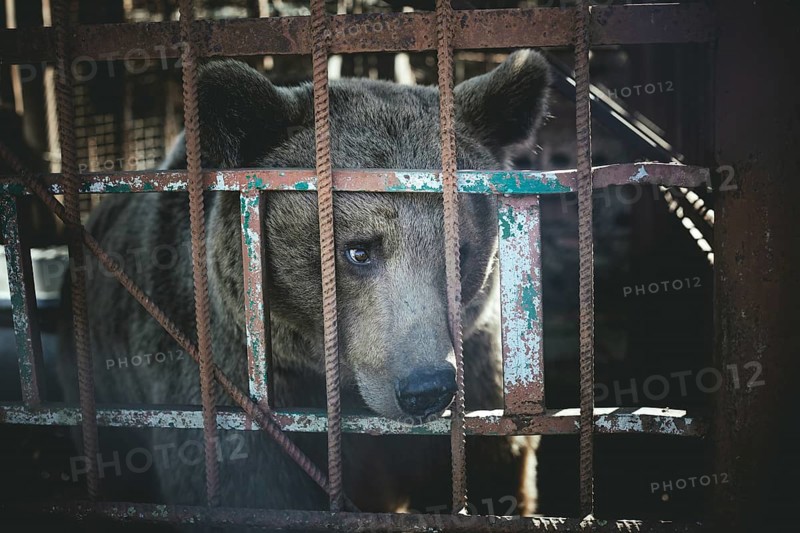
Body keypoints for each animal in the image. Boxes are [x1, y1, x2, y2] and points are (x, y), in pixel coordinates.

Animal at [57, 49, 552, 523]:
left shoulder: (479, 367)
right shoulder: (224, 384)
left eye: (458, 251)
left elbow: (495, 469)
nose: (425, 388)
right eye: (358, 250)